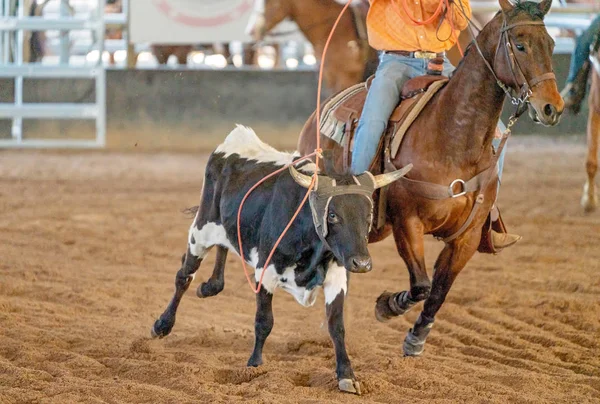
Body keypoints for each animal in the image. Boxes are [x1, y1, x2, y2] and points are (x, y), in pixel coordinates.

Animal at [152, 125, 410, 394]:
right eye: (332, 214)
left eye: (368, 213)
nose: (362, 263)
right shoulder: (265, 272)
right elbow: (264, 321)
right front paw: (254, 365)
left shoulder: (337, 276)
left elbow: (336, 326)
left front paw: (346, 375)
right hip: (201, 230)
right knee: (184, 276)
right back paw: (162, 324)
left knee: (222, 249)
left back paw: (208, 286)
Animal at [298, 0, 564, 356]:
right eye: (520, 45)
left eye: (551, 44)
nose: (553, 107)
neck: (453, 138)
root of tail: (320, 111)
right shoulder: (408, 223)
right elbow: (421, 285)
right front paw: (387, 306)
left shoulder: (468, 235)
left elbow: (438, 290)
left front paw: (416, 337)